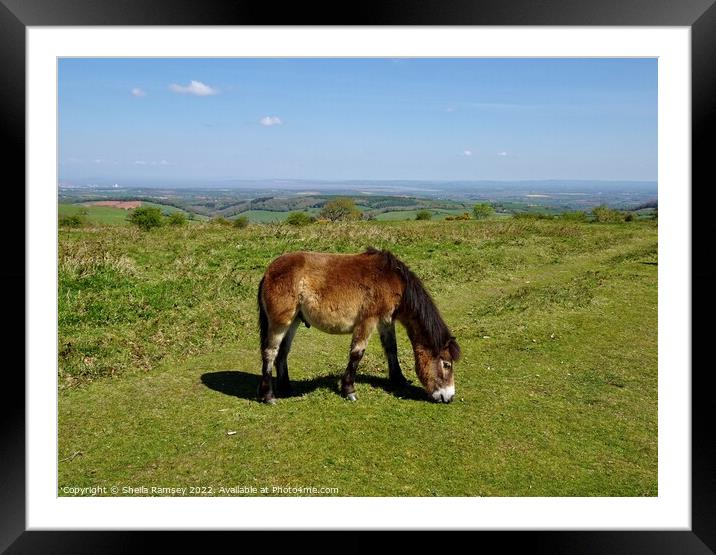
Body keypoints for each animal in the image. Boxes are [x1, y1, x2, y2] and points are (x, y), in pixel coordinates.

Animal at [255, 248, 462, 404]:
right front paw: (349, 390)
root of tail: (268, 271)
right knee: (270, 353)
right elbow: (357, 353)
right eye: (446, 364)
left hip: (294, 321)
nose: (449, 397)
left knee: (283, 353)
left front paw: (398, 379)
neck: (391, 279)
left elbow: (391, 349)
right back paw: (268, 396)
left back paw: (286, 388)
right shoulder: (368, 321)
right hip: (280, 323)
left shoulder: (385, 321)